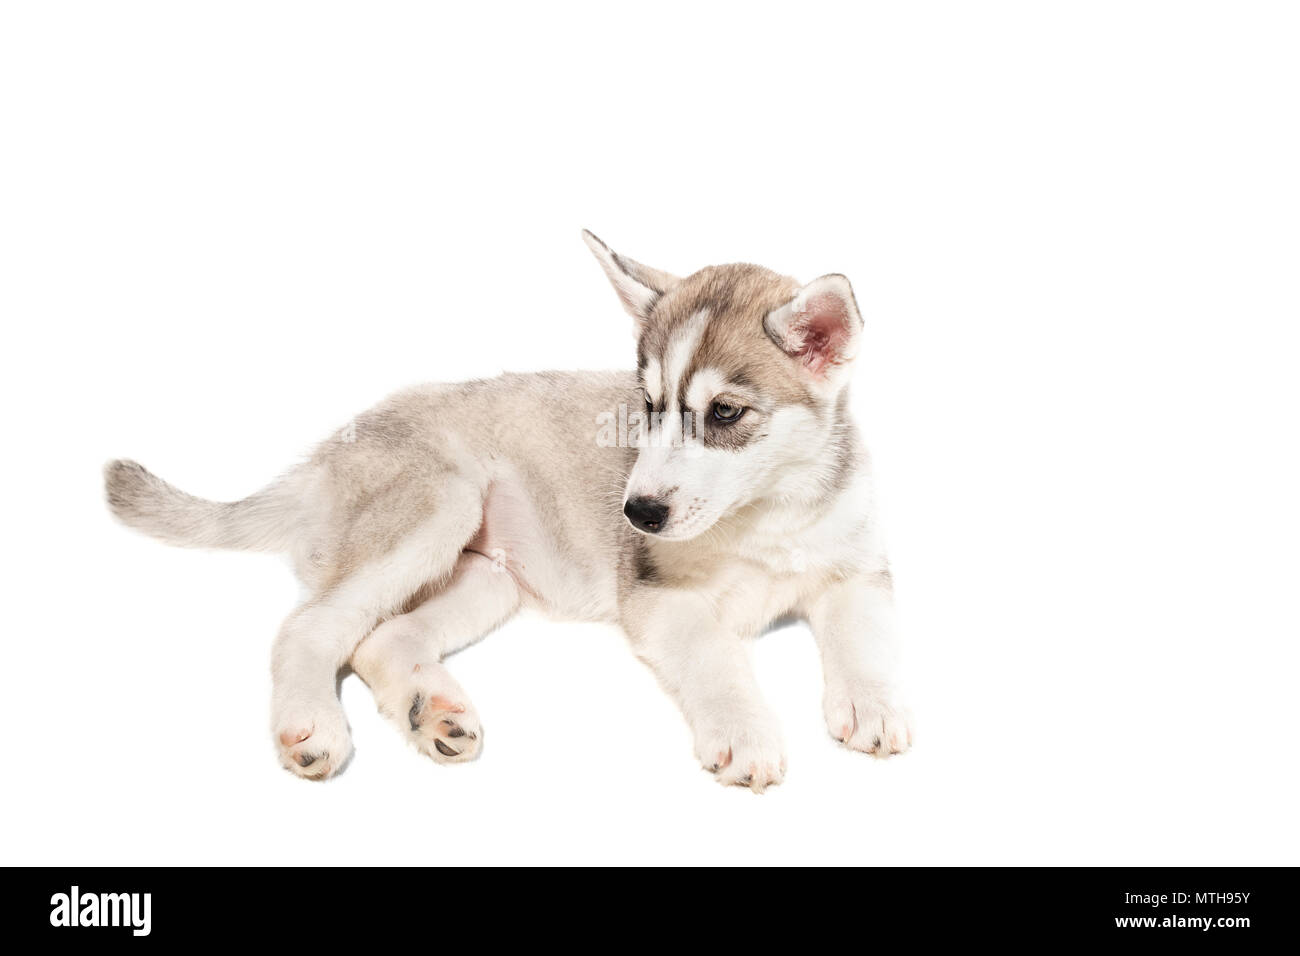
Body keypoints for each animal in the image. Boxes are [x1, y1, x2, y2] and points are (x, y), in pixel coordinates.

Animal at [106, 234, 909, 790]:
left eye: (725, 413)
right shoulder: (659, 596)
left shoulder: (859, 571)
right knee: (309, 627)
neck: (769, 513)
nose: (638, 513)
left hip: (490, 579)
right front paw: (746, 734)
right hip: (440, 504)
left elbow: (863, 640)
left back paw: (433, 712)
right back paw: (312, 727)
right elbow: (718, 659)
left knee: (379, 640)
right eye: (648, 406)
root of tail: (321, 458)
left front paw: (873, 705)